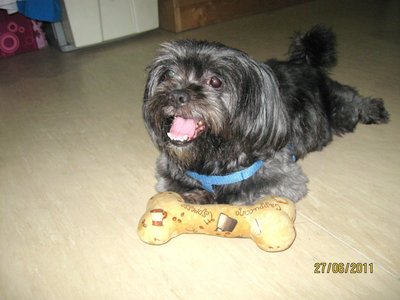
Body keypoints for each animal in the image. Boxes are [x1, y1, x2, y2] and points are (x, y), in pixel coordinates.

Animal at [142, 25, 390, 204]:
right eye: (169, 74)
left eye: (215, 81)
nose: (176, 95)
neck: (212, 157)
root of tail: (305, 63)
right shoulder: (167, 174)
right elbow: (176, 187)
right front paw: (195, 194)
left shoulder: (284, 181)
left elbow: (238, 196)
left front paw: (208, 197)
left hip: (338, 109)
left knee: (351, 98)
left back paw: (373, 108)